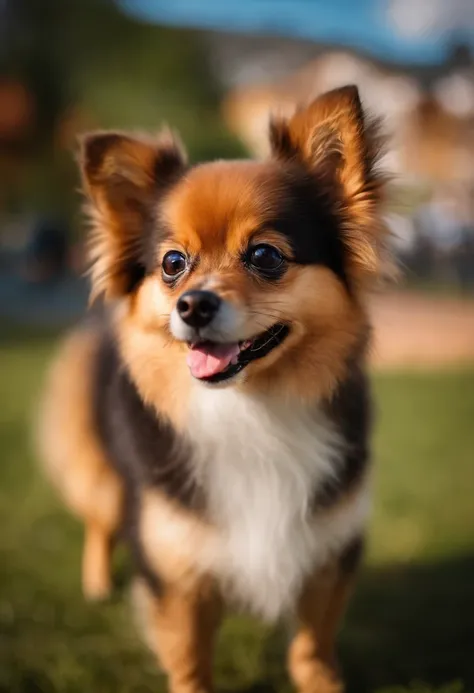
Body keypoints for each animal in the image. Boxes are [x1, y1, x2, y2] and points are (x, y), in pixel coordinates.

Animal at [37, 85, 390, 692]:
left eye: (265, 256)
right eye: (172, 263)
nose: (193, 305)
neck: (251, 410)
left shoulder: (328, 545)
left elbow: (312, 646)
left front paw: (322, 682)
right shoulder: (175, 565)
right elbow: (190, 660)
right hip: (98, 471)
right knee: (100, 521)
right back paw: (98, 583)